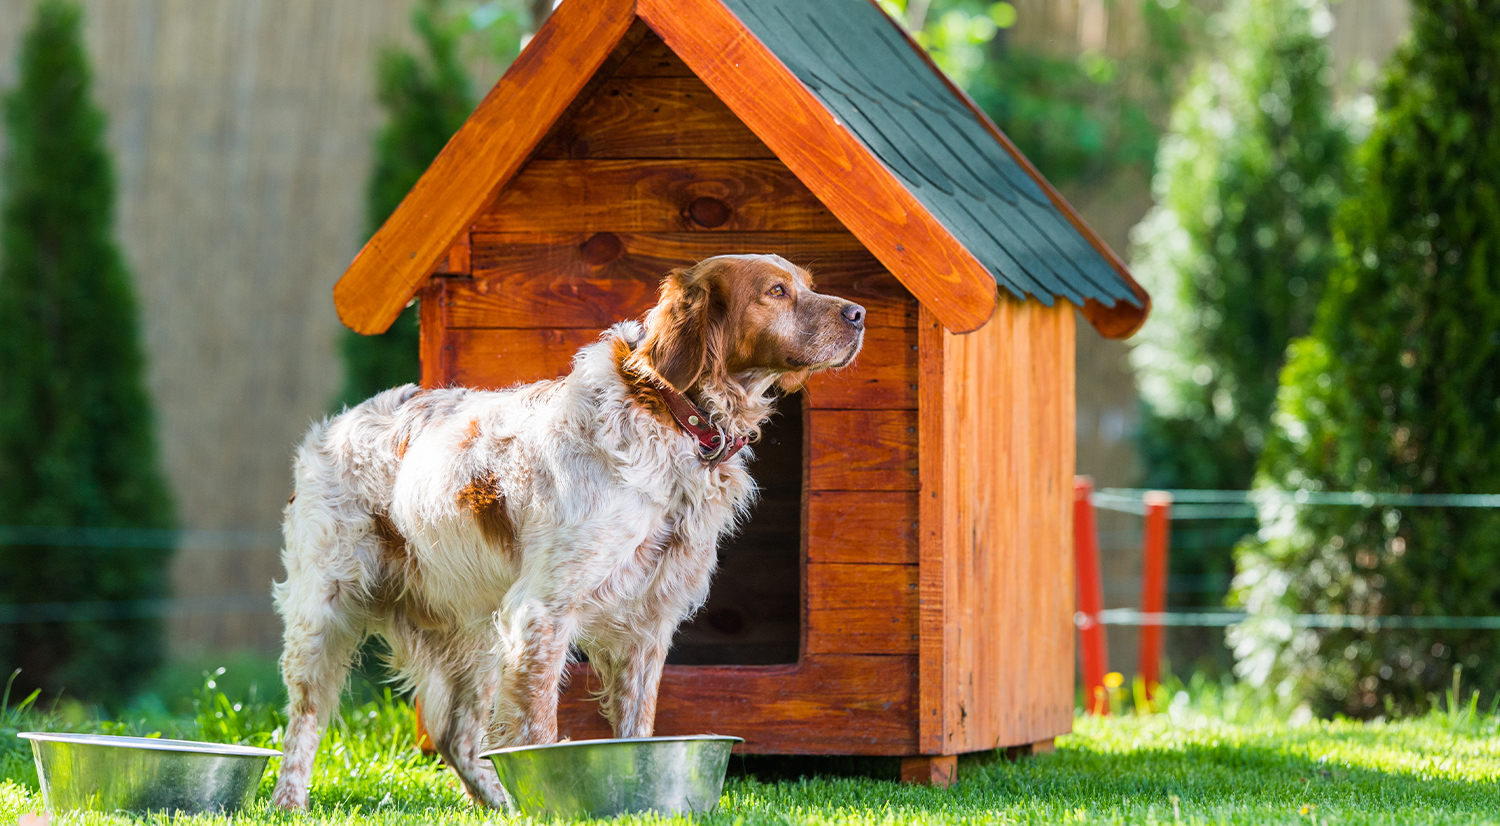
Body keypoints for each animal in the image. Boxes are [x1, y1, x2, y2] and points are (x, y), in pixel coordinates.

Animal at [270, 253, 870, 809]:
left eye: (808, 284)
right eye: (776, 291)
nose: (860, 313)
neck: (673, 418)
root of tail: (333, 427)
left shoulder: (646, 624)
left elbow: (637, 731)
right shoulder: (542, 611)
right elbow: (539, 731)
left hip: (473, 630)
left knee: (454, 735)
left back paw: (499, 803)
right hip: (324, 613)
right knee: (303, 724)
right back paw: (288, 803)